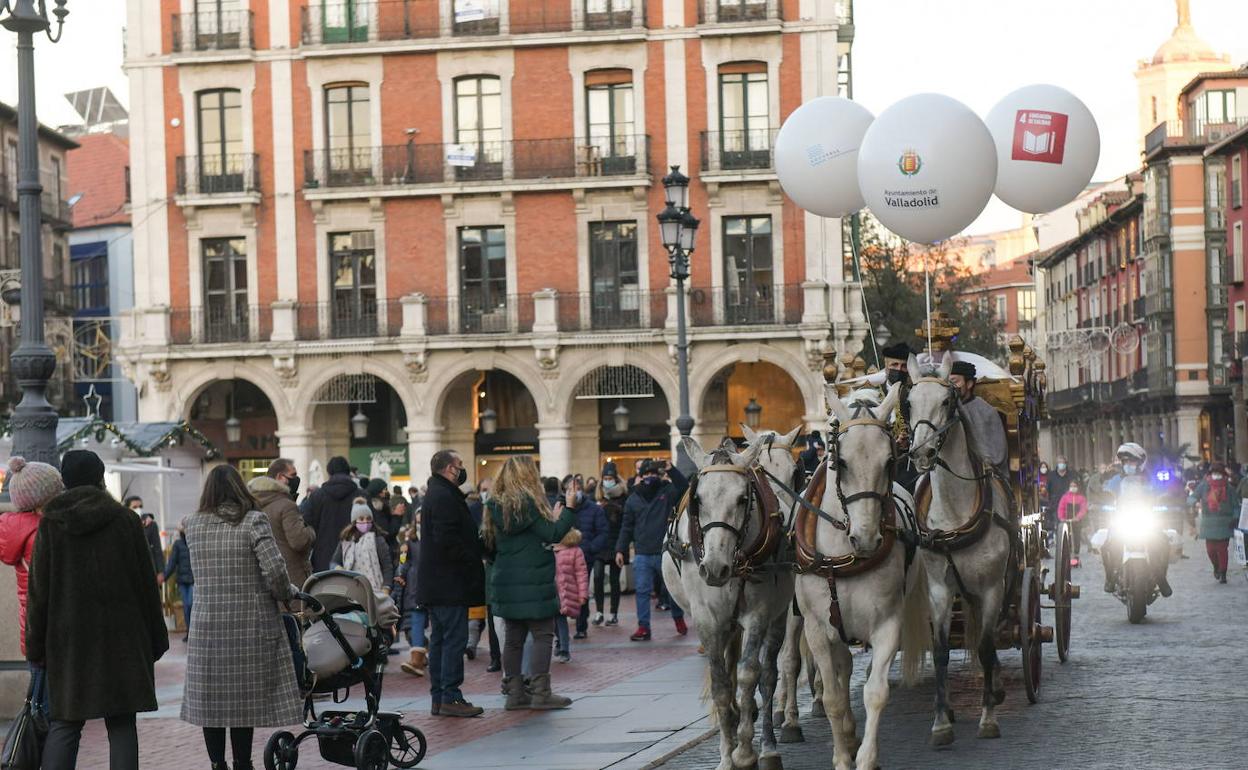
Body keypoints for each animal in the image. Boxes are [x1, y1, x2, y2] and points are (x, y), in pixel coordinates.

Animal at [663, 426, 798, 768]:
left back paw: (768, 744)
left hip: (778, 617)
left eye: (742, 498)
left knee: (769, 673)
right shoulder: (708, 620)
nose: (713, 568)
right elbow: (721, 685)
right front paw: (727, 754)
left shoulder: (758, 614)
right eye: (697, 499)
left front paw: (747, 751)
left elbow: (751, 674)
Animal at [798, 384, 928, 768]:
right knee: (841, 673)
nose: (867, 538)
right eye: (840, 462)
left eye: (889, 461)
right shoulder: (817, 629)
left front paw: (867, 757)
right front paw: (842, 755)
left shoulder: (888, 623)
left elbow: (875, 692)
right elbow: (833, 697)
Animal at [908, 354, 1013, 743]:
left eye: (946, 401)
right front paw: (941, 721)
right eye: (909, 402)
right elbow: (940, 651)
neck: (954, 513)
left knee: (991, 636)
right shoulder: (940, 588)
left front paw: (988, 718)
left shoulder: (992, 586)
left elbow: (985, 645)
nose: (921, 453)